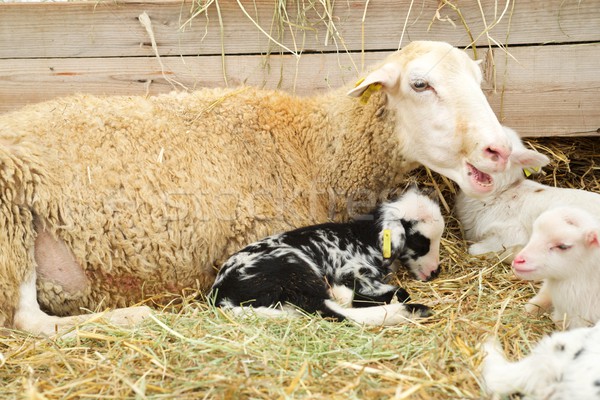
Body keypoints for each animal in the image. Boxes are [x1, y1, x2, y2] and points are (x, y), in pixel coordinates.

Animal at [209, 188, 442, 324]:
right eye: (421, 242)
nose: (435, 272)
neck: (364, 237)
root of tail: (221, 296)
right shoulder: (351, 270)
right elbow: (399, 292)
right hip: (293, 267)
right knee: (328, 309)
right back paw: (413, 310)